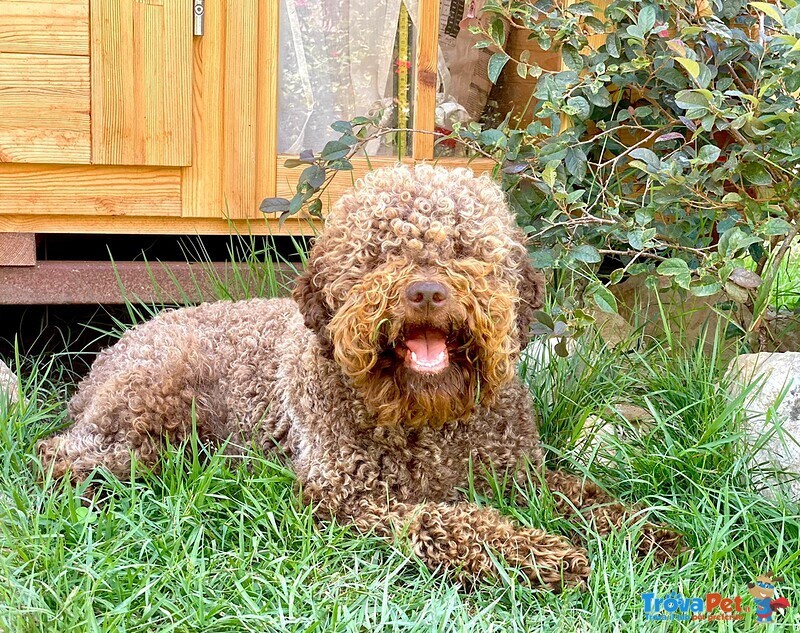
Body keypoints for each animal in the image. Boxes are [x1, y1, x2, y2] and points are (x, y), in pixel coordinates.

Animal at [40, 165, 680, 592]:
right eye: (380, 256)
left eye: (464, 250)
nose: (427, 292)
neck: (431, 420)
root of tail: (114, 348)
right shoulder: (356, 498)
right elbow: (456, 522)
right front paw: (548, 556)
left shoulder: (518, 473)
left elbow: (585, 496)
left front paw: (647, 533)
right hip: (156, 398)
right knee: (61, 454)